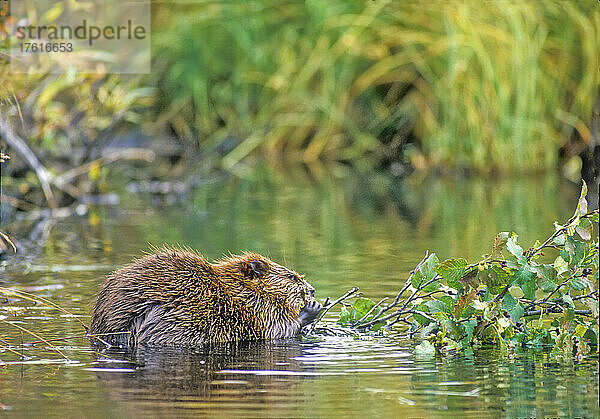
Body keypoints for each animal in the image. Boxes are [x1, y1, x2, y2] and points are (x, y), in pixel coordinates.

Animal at [89, 248, 322, 346]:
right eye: (292, 277)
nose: (312, 290)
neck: (235, 288)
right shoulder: (256, 308)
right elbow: (275, 329)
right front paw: (311, 308)